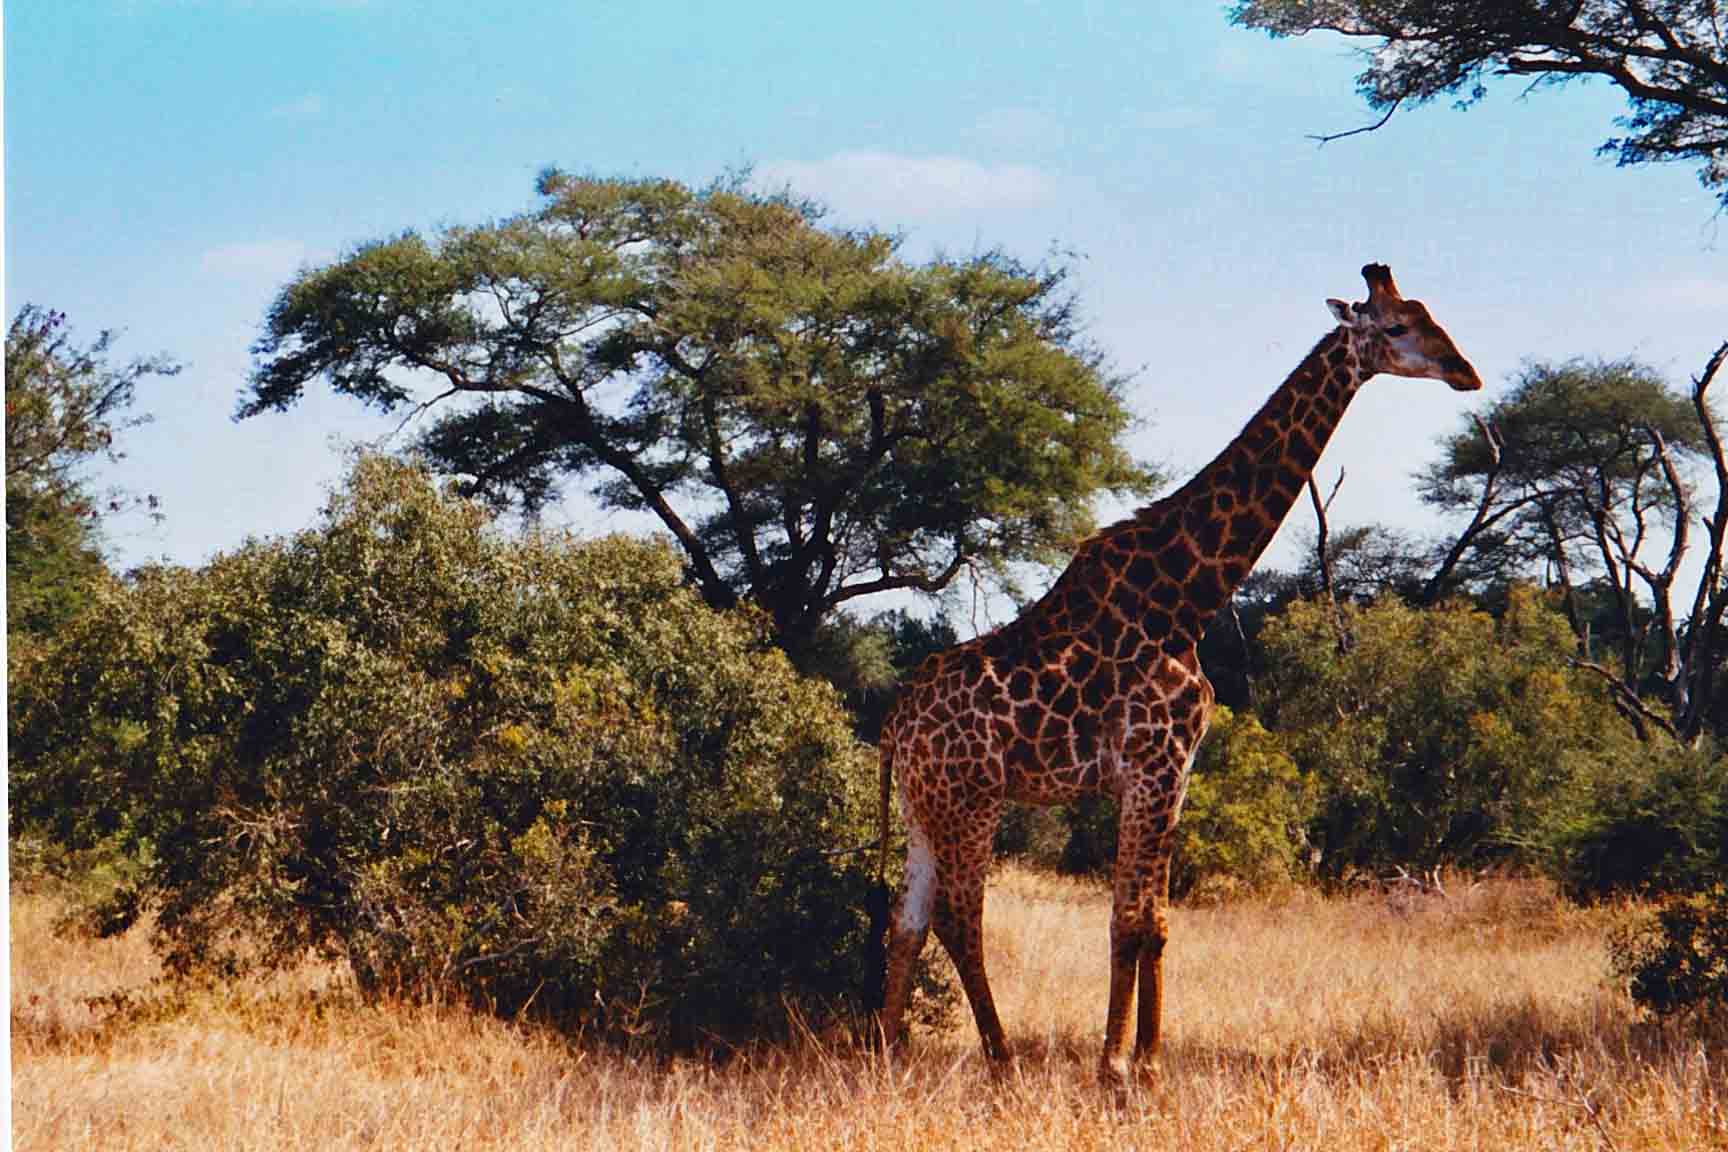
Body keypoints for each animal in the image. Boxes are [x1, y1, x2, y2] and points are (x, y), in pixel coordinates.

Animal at [874, 264, 1481, 1087]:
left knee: (905, 920)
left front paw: (1148, 1059)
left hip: (924, 808)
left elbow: (1154, 922)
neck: (1188, 596)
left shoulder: (1176, 773)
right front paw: (1115, 1065)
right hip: (973, 800)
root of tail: (894, 726)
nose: (1465, 371)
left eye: (1429, 313)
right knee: (958, 919)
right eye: (1394, 328)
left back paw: (881, 1049)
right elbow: (1129, 919)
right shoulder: (1151, 766)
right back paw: (1001, 1059)